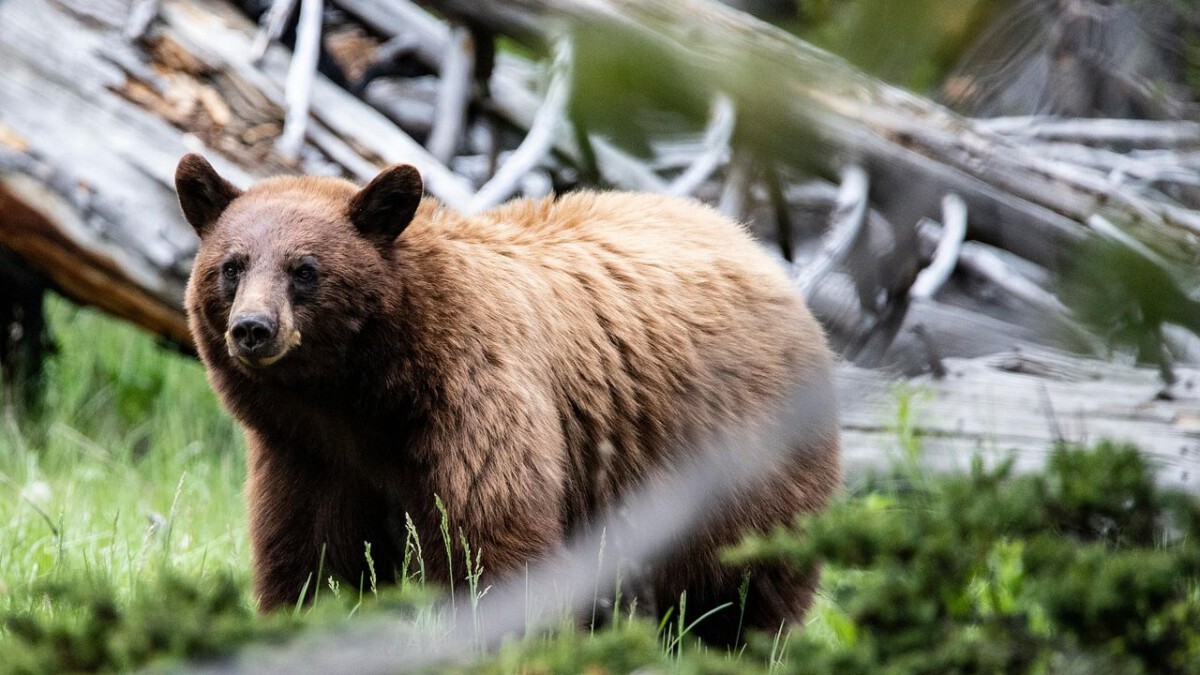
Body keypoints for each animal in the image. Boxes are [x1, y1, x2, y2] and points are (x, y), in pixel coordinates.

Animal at [174, 153, 840, 646]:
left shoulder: (475, 395)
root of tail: (760, 253)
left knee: (745, 584)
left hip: (740, 458)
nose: (253, 329)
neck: (361, 395)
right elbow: (310, 556)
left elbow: (494, 539)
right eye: (232, 266)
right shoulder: (308, 454)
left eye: (305, 269)